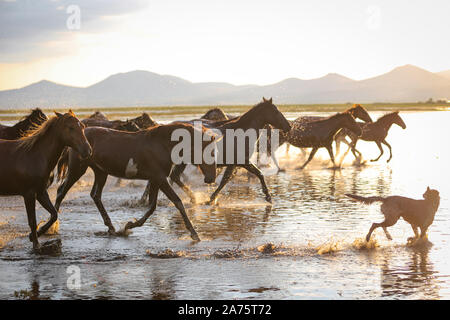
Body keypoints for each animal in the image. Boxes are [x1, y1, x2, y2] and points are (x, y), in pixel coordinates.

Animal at [0, 111, 92, 251]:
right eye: (70, 127)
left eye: (82, 126)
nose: (87, 150)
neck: (35, 156)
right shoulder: (29, 194)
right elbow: (32, 221)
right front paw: (36, 245)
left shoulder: (41, 192)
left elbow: (54, 214)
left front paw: (35, 235)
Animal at [53, 122, 219, 240]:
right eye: (211, 153)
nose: (211, 178)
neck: (161, 144)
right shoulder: (160, 178)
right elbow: (177, 201)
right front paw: (194, 233)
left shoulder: (155, 179)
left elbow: (152, 206)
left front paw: (129, 225)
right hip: (77, 169)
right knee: (61, 192)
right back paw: (52, 226)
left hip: (101, 172)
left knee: (95, 195)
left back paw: (111, 227)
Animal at [143, 97, 292, 206]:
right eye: (276, 111)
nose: (289, 126)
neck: (242, 132)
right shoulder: (242, 162)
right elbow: (258, 174)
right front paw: (268, 197)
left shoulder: (234, 164)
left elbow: (225, 180)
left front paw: (211, 198)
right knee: (172, 177)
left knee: (173, 177)